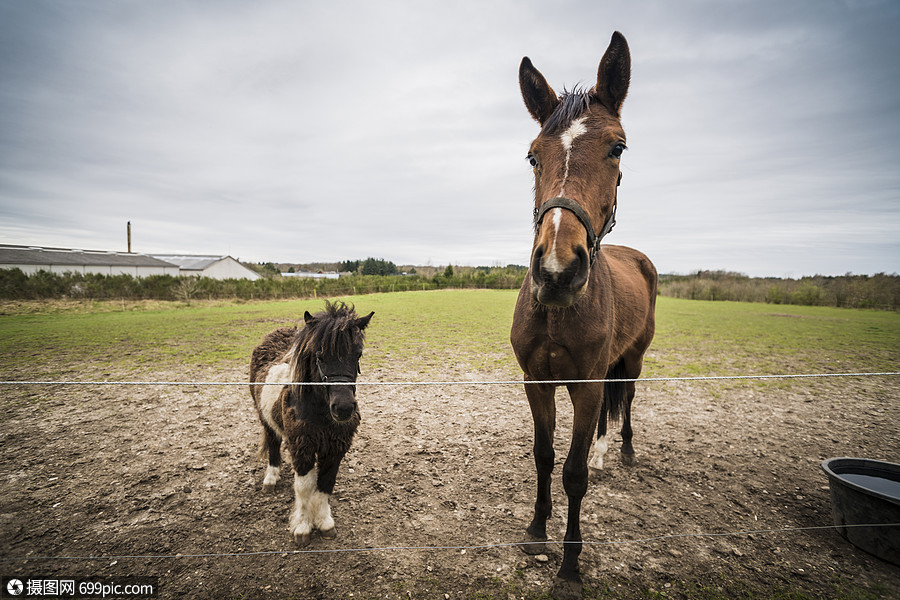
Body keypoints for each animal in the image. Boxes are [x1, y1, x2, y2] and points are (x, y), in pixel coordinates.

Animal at [510, 31, 656, 596]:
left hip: (631, 361)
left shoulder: (589, 385)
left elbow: (574, 475)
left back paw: (624, 452)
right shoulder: (538, 382)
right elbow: (545, 455)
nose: (556, 270)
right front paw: (535, 530)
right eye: (533, 156)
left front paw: (570, 565)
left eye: (617, 148)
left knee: (628, 400)